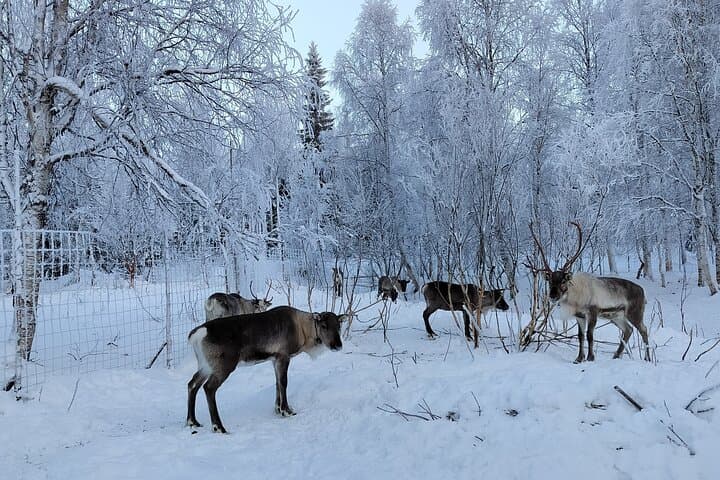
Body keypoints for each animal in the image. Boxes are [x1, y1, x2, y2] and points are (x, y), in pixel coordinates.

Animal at [186, 306, 347, 433]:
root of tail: (196, 335)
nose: (337, 345)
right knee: (209, 387)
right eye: (324, 325)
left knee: (192, 384)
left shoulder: (274, 359)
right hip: (223, 365)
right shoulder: (283, 355)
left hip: (205, 365)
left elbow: (277, 383)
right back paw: (218, 427)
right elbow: (283, 382)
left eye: (339, 326)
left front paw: (277, 409)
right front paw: (287, 410)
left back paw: (192, 421)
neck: (303, 331)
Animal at [527, 221, 650, 363]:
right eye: (550, 281)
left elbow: (589, 335)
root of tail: (642, 291)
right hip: (616, 316)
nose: (553, 296)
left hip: (634, 313)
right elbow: (580, 336)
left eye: (563, 281)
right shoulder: (579, 316)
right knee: (628, 330)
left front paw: (591, 357)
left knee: (643, 330)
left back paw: (647, 358)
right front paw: (579, 358)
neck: (575, 297)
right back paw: (616, 356)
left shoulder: (593, 312)